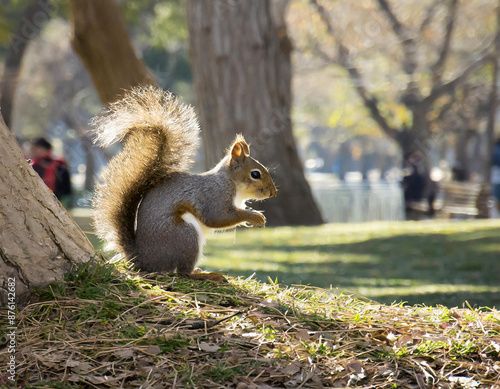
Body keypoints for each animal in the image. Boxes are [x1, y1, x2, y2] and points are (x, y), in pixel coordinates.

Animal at [90, 86, 278, 278]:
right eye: (255, 174)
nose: (273, 192)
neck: (232, 185)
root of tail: (143, 260)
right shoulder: (214, 196)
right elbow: (218, 217)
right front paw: (255, 216)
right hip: (186, 235)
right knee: (183, 273)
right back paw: (205, 275)